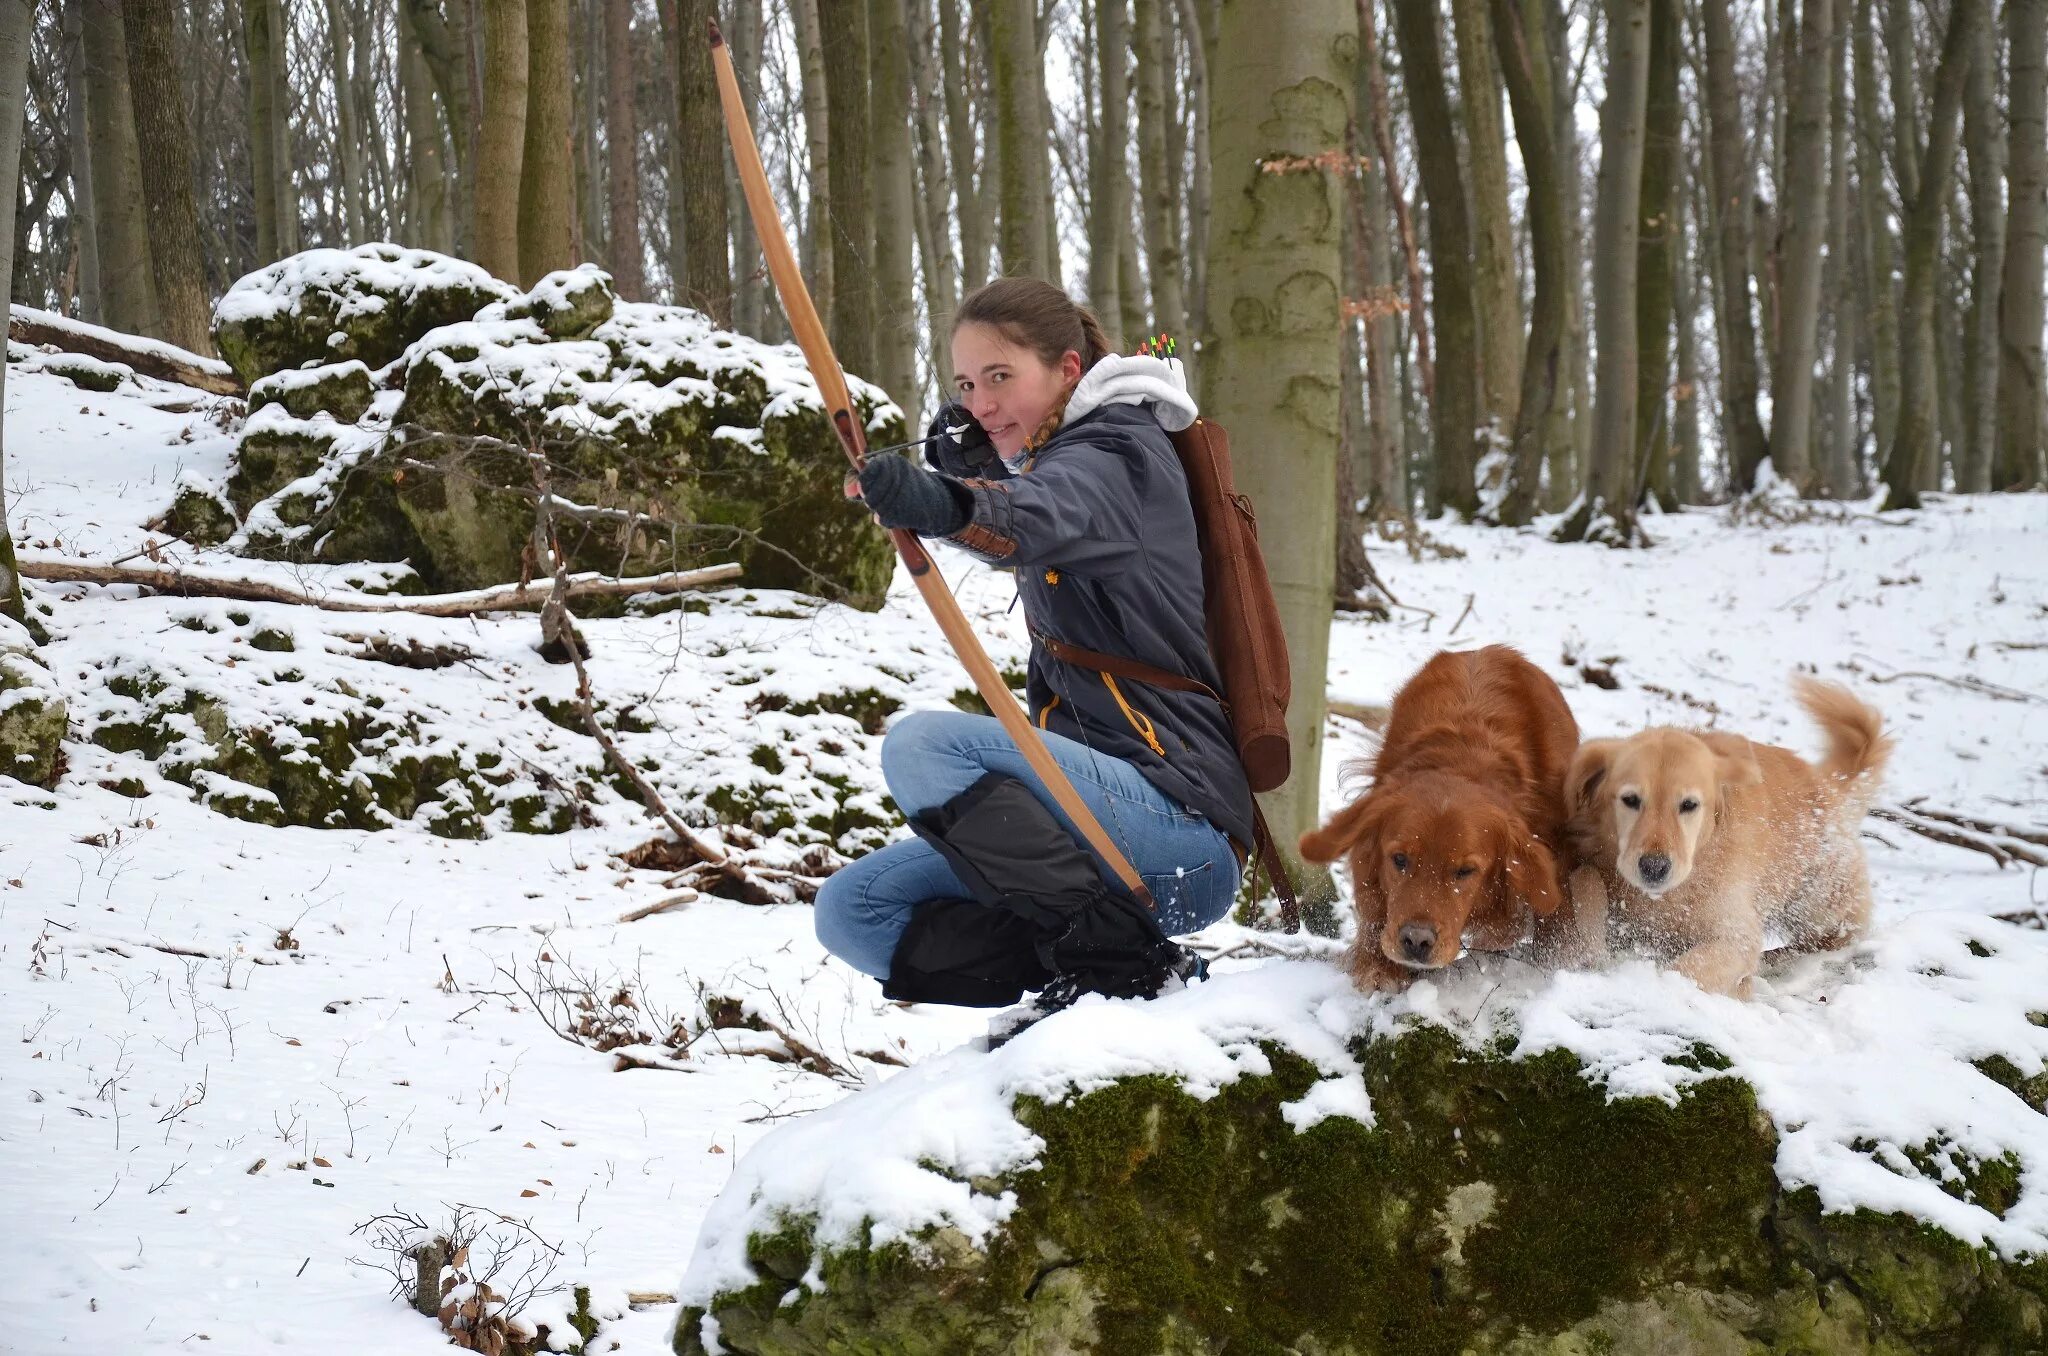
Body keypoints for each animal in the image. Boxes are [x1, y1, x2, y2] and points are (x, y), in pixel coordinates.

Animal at [1294, 643, 1581, 995]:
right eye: (1399, 859)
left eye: (1465, 871)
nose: (1416, 941)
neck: (1464, 754)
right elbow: (1374, 904)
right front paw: (1379, 966)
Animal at [1564, 675, 1884, 999]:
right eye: (1630, 799)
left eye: (1689, 804)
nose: (1654, 867)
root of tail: (1829, 787)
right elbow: (1587, 880)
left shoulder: (1737, 932)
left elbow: (1689, 968)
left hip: (1818, 901)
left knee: (1825, 940)